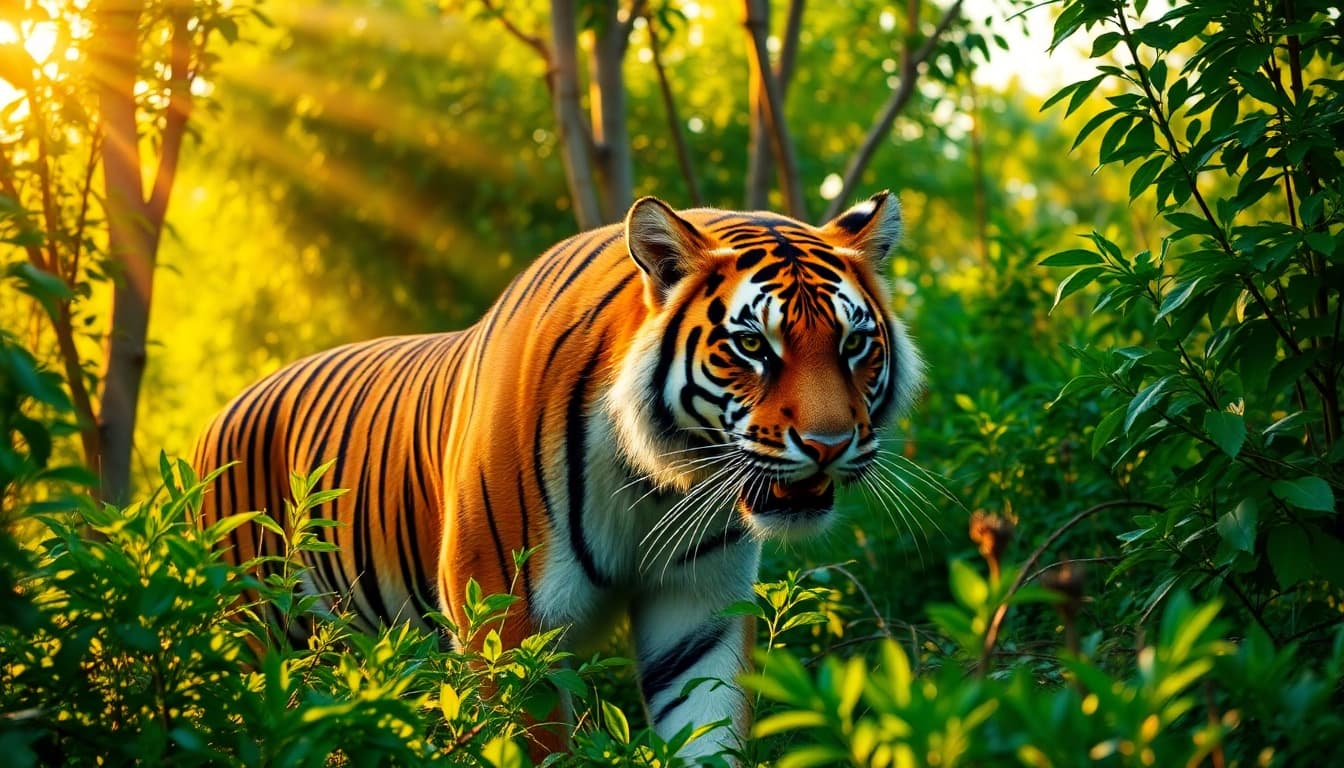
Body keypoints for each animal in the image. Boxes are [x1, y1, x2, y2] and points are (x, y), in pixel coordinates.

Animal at [192, 191, 922, 758]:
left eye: (854, 344)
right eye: (752, 346)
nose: (828, 445)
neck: (653, 481)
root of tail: (219, 416)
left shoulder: (699, 610)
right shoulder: (504, 620)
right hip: (256, 634)